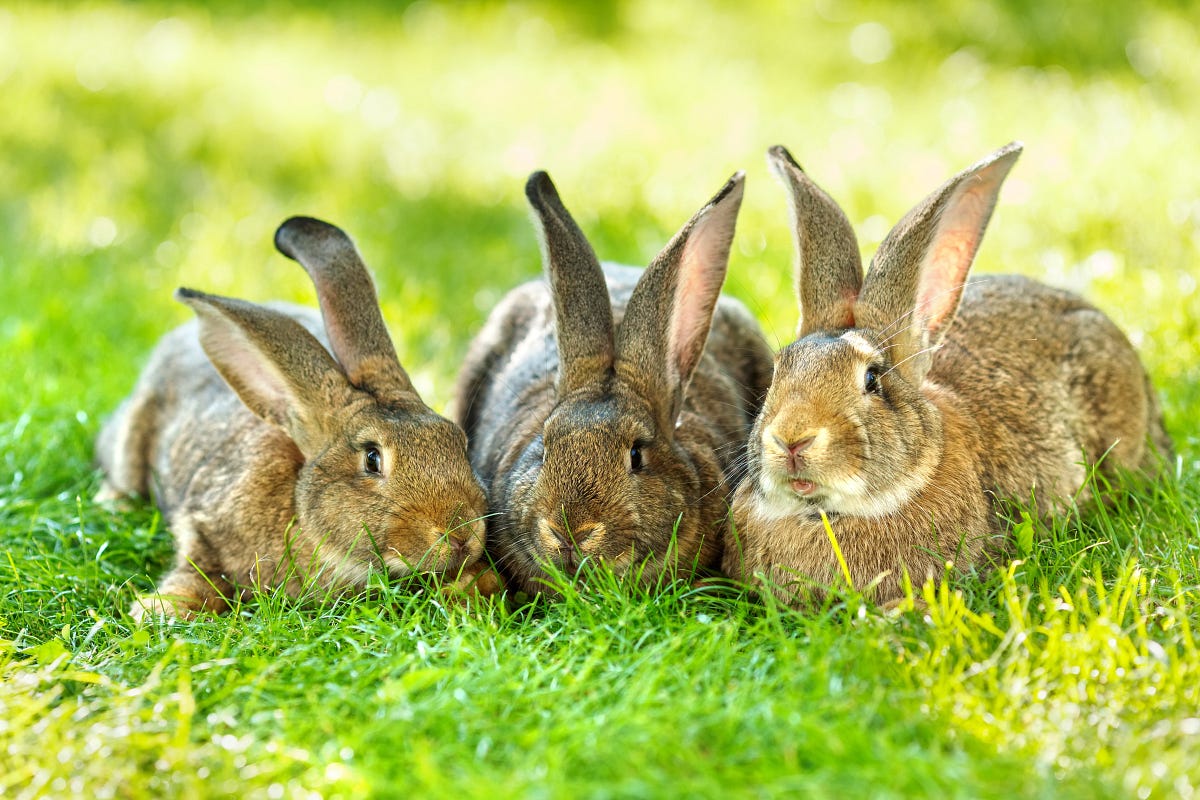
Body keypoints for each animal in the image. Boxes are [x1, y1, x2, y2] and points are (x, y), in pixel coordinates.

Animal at [97, 216, 499, 620]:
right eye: (372, 458)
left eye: (459, 443)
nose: (461, 535)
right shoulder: (202, 526)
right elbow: (199, 570)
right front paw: (159, 609)